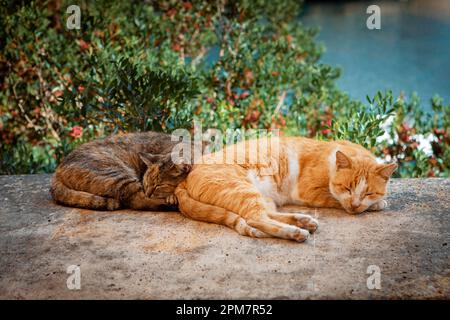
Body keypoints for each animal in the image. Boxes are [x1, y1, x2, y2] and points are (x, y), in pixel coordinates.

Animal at [51, 131, 192, 211]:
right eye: (146, 183)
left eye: (159, 185)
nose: (148, 192)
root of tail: (57, 171)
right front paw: (171, 198)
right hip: (116, 173)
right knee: (137, 201)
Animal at [174, 136, 396, 241]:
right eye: (347, 188)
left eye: (368, 192)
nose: (355, 205)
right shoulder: (309, 192)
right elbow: (335, 200)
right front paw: (376, 205)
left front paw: (374, 203)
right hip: (243, 190)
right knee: (256, 218)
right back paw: (295, 232)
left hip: (262, 197)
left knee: (266, 214)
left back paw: (303, 221)